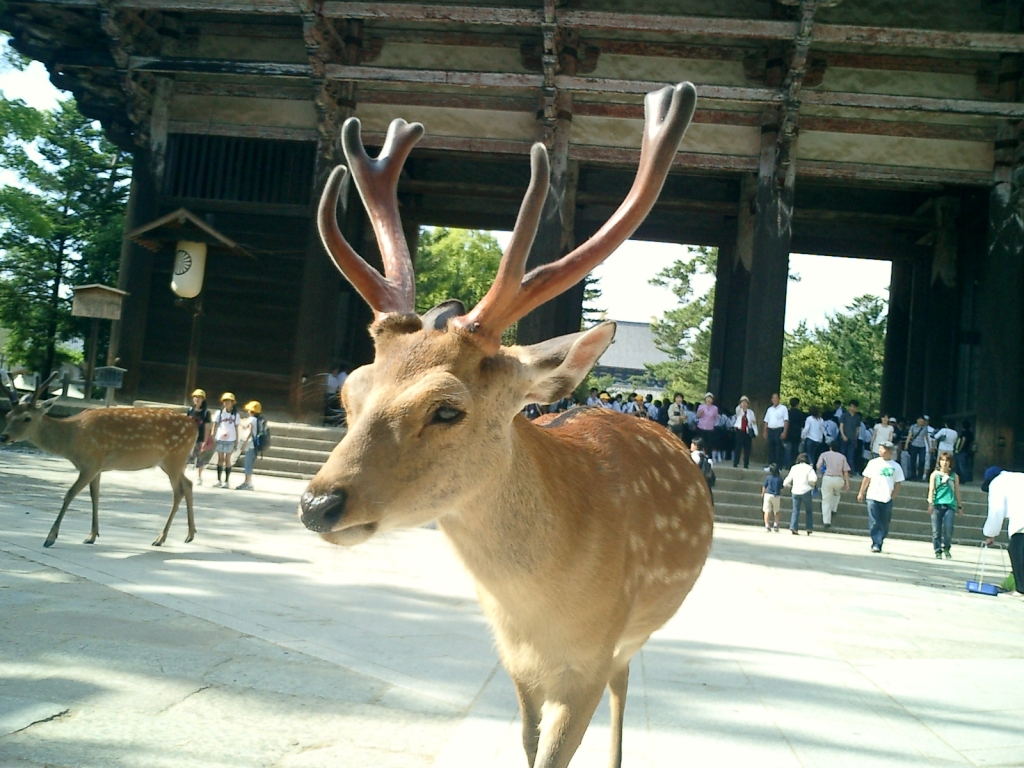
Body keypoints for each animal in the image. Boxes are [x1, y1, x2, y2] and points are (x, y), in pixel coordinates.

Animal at [2, 372, 198, 548]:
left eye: (27, 418)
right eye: (8, 415)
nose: (4, 436)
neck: (71, 441)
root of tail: (194, 425)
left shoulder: (90, 464)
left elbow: (69, 494)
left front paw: (50, 538)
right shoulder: (96, 467)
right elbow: (94, 496)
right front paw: (92, 535)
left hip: (175, 457)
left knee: (179, 491)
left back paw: (160, 538)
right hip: (172, 462)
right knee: (188, 484)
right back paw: (190, 535)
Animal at [296, 83, 712, 768]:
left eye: (447, 408)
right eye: (351, 392)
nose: (317, 503)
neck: (538, 613)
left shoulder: (589, 660)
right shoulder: (513, 663)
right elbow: (525, 744)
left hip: (633, 639)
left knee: (626, 690)